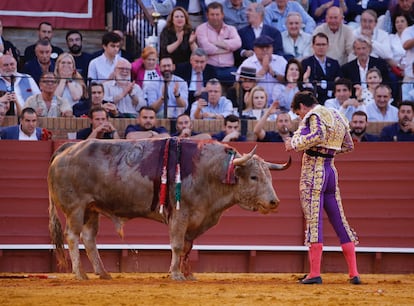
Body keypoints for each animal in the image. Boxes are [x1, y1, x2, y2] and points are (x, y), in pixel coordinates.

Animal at [48, 138, 292, 280]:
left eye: (269, 176)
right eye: (254, 177)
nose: (274, 202)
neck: (210, 171)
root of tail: (67, 148)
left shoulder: (196, 218)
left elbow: (187, 246)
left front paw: (188, 273)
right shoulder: (179, 214)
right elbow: (176, 244)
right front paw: (175, 274)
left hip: (92, 209)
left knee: (89, 238)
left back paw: (103, 273)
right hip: (76, 208)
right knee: (72, 236)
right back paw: (80, 274)